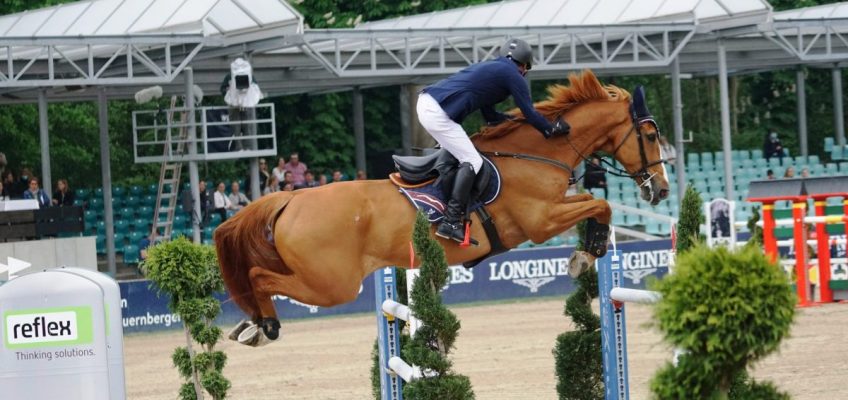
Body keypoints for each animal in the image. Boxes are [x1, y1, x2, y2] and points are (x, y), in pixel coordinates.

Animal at [214, 70, 668, 346]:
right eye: (649, 134)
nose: (661, 190)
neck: (535, 154)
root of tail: (290, 196)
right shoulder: (540, 223)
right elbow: (601, 204)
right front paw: (585, 255)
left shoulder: (548, 214)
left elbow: (597, 205)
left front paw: (585, 252)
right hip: (332, 283)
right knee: (258, 276)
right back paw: (264, 325)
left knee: (257, 277)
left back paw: (252, 324)